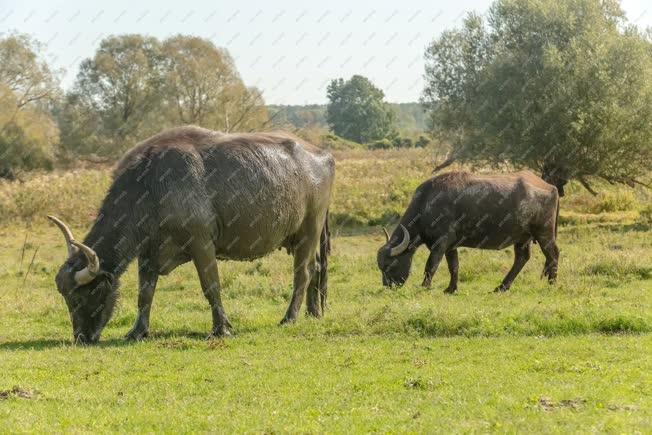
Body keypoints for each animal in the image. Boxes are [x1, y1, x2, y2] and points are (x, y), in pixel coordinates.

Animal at [50, 126, 334, 344]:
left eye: (86, 294)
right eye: (66, 298)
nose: (82, 337)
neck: (151, 187)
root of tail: (323, 155)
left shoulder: (202, 244)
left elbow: (211, 286)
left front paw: (221, 329)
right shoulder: (148, 252)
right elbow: (145, 294)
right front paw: (137, 331)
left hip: (309, 230)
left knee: (303, 273)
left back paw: (290, 317)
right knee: (317, 267)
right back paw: (313, 313)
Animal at [376, 171, 560, 292]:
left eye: (390, 265)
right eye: (380, 267)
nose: (388, 286)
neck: (426, 204)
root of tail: (550, 187)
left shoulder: (440, 244)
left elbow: (431, 266)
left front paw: (424, 287)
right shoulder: (451, 246)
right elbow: (454, 267)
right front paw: (451, 289)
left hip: (544, 233)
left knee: (553, 255)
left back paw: (552, 284)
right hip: (522, 237)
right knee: (522, 258)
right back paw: (502, 287)